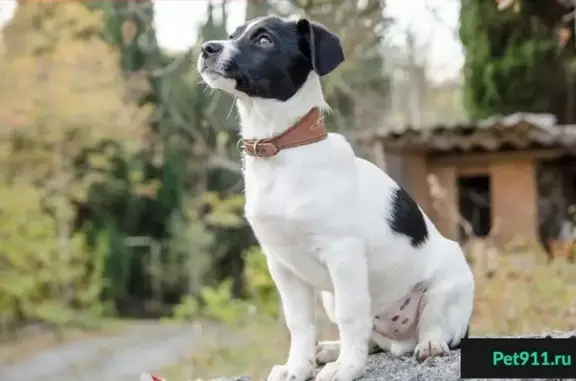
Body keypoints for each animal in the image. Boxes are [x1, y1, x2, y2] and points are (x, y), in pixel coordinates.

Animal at [198, 16, 472, 380]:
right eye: (233, 35)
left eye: (264, 40)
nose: (206, 48)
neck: (283, 151)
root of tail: (401, 340)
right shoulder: (281, 264)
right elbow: (299, 323)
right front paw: (297, 367)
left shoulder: (343, 255)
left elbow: (350, 315)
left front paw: (348, 368)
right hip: (333, 297)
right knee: (372, 339)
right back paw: (331, 350)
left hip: (445, 287)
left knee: (433, 324)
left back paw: (429, 344)